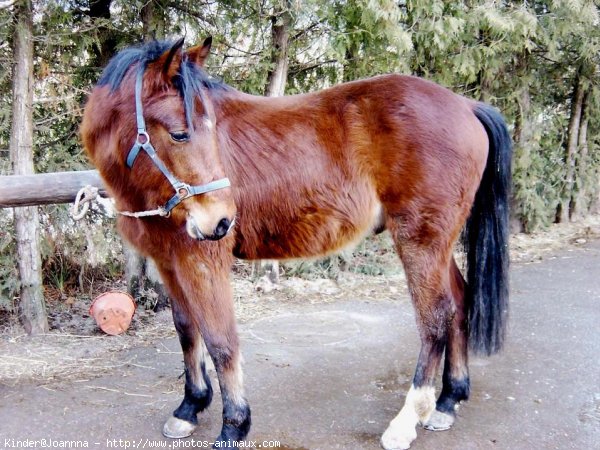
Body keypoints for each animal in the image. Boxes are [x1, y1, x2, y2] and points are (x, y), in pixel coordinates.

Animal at [79, 39, 510, 450]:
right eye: (180, 133)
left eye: (207, 129)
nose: (222, 221)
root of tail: (467, 105)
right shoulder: (169, 260)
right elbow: (188, 330)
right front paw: (189, 406)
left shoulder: (202, 259)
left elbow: (221, 340)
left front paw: (234, 426)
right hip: (438, 243)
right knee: (458, 302)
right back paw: (448, 401)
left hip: (420, 239)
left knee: (435, 318)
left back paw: (406, 422)